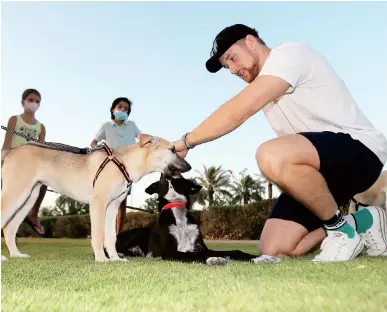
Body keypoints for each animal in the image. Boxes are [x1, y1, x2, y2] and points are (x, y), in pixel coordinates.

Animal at [1, 133, 192, 260]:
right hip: (15, 195)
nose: (189, 167)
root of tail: (12, 151)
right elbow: (99, 235)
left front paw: (115, 259)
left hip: (28, 198)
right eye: (172, 149)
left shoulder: (113, 207)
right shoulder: (98, 203)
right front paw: (102, 259)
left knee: (9, 228)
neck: (123, 163)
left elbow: (111, 236)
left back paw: (16, 255)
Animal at [113, 174, 258, 264]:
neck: (177, 209)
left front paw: (254, 257)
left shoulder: (200, 247)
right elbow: (196, 255)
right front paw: (214, 259)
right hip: (139, 233)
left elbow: (233, 251)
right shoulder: (171, 252)